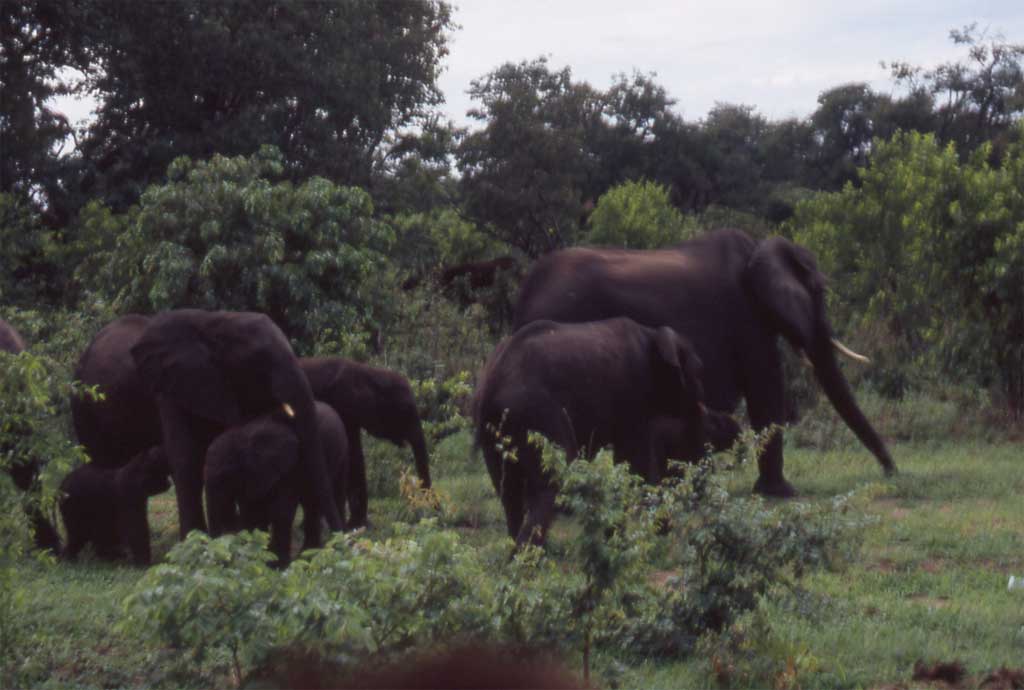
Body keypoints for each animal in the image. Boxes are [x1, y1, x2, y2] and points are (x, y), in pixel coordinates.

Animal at [204, 397, 352, 565]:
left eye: (225, 477)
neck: (244, 436)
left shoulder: (290, 466)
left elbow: (281, 509)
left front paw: (276, 564)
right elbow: (252, 510)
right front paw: (259, 556)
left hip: (341, 453)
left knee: (327, 497)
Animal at [301, 354, 434, 528]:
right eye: (406, 409)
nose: (434, 512)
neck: (367, 374)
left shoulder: (352, 416)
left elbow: (356, 456)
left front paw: (359, 524)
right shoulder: (342, 405)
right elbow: (352, 457)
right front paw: (356, 525)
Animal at [473, 315, 708, 544]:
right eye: (698, 372)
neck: (653, 334)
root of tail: (493, 381)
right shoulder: (633, 399)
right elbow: (634, 463)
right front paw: (623, 541)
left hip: (493, 428)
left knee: (508, 490)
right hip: (535, 413)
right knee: (549, 483)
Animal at [512, 227, 897, 495]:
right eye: (818, 292)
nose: (891, 472)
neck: (759, 250)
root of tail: (525, 291)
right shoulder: (746, 317)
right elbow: (767, 390)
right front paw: (782, 493)